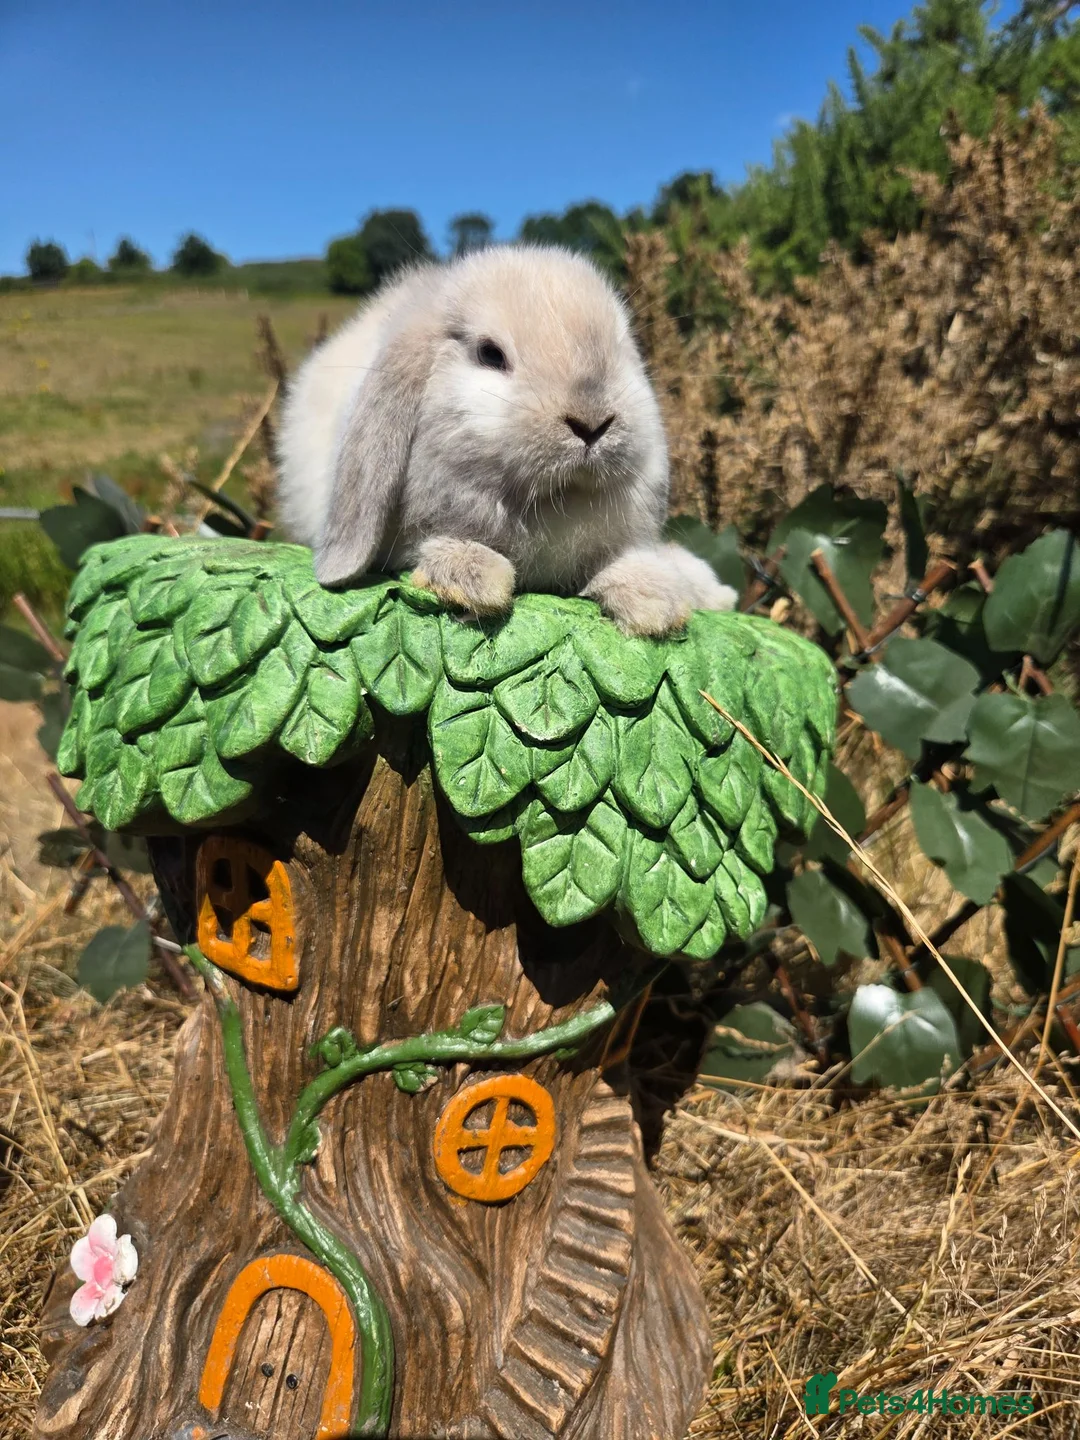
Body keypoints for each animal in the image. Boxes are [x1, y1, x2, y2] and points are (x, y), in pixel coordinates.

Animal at [276, 244, 737, 635]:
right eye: (490, 354)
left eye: (621, 350)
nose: (592, 423)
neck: (552, 503)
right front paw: (476, 580)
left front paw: (655, 602)